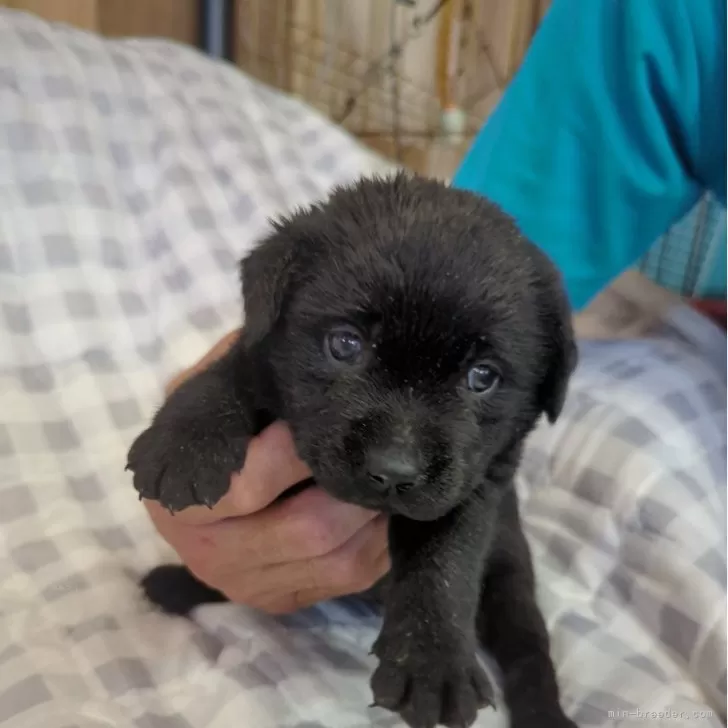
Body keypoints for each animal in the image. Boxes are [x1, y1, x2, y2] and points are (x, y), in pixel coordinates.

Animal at [128, 172, 576, 728]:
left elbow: (444, 565)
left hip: (513, 579)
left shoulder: (476, 487)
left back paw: (546, 714)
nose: (393, 471)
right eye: (345, 344)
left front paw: (430, 661)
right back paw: (178, 584)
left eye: (482, 376)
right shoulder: (263, 355)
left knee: (529, 652)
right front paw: (185, 442)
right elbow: (234, 370)